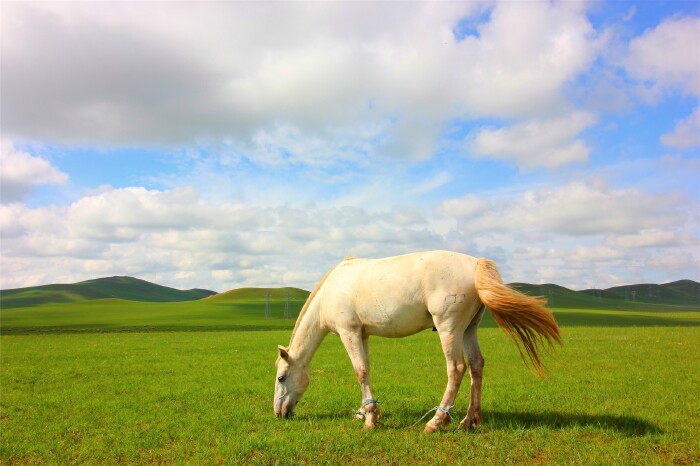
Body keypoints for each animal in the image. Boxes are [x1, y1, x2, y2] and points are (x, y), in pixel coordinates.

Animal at [273, 250, 561, 432]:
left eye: (281, 378)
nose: (278, 413)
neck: (330, 292)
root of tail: (475, 263)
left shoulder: (349, 333)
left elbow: (360, 371)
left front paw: (370, 420)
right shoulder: (362, 335)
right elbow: (366, 371)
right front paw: (365, 412)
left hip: (449, 329)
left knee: (457, 369)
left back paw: (436, 421)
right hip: (469, 329)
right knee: (476, 366)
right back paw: (469, 420)